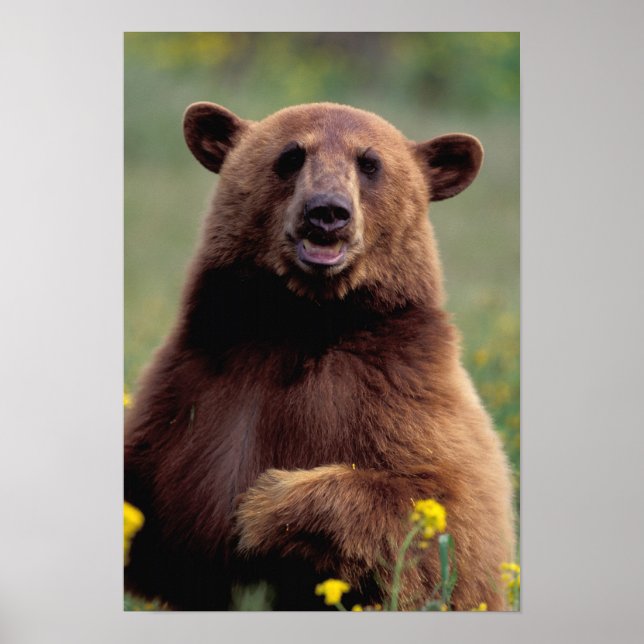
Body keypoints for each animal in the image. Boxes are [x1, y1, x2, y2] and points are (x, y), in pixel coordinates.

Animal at [124, 101, 515, 611]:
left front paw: (262, 505)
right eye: (291, 155)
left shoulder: (401, 393)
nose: (327, 212)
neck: (300, 324)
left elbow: (453, 521)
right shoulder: (191, 389)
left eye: (370, 163)